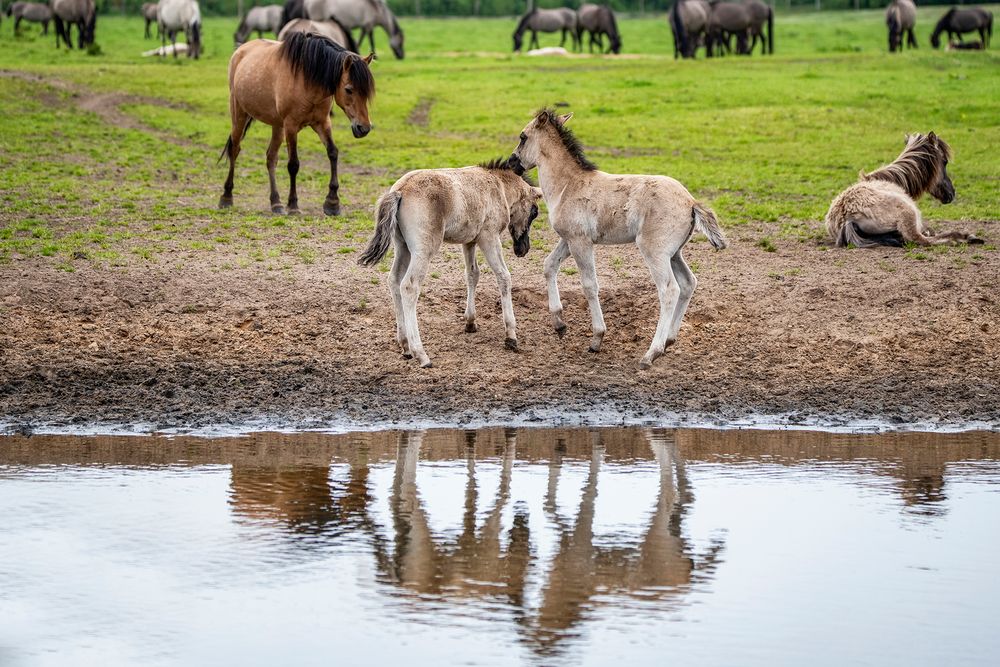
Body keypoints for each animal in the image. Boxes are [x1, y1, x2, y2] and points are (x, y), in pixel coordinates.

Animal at [360, 159, 544, 368]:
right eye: (534, 212)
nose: (523, 249)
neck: (498, 186)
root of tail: (401, 190)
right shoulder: (489, 237)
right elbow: (504, 276)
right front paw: (511, 335)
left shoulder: (469, 241)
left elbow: (472, 274)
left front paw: (470, 322)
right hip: (423, 251)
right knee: (408, 286)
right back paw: (421, 354)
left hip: (402, 247)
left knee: (394, 281)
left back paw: (405, 346)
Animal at [508, 109, 728, 370]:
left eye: (523, 137)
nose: (511, 163)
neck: (567, 185)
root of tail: (691, 201)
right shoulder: (569, 240)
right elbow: (549, 266)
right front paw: (559, 324)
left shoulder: (581, 243)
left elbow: (590, 285)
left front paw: (597, 338)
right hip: (674, 253)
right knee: (688, 283)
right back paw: (668, 341)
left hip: (654, 252)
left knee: (669, 290)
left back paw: (651, 353)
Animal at [824, 134, 980, 249]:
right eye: (945, 161)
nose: (951, 193)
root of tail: (847, 217)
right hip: (908, 214)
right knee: (921, 240)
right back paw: (963, 238)